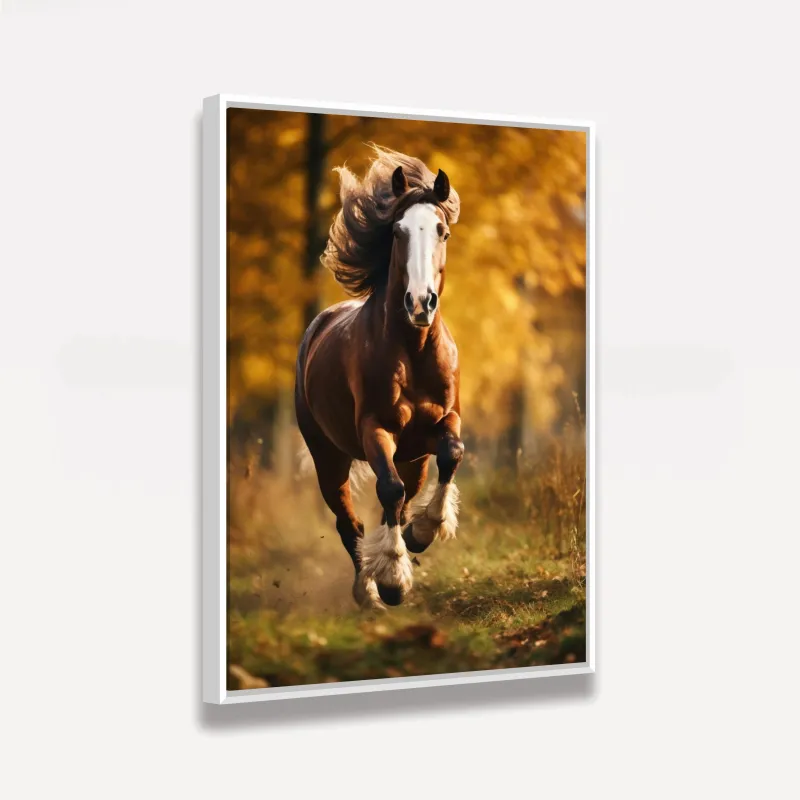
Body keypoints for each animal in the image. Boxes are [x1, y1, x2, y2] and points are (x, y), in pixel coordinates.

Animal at [294, 145, 465, 609]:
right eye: (398, 232)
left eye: (442, 231)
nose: (420, 303)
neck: (414, 350)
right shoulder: (376, 428)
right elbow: (388, 490)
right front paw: (392, 580)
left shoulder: (443, 422)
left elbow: (452, 454)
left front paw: (422, 532)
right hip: (328, 456)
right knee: (348, 522)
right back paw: (366, 590)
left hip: (414, 457)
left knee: (406, 494)